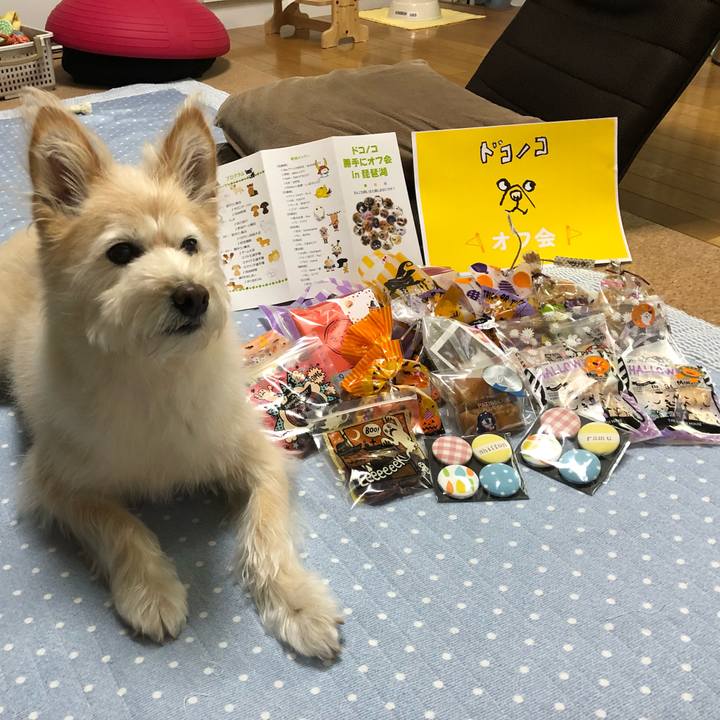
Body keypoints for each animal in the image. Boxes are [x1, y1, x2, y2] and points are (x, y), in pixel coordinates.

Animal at [0, 90, 342, 659]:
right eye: (121, 252)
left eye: (190, 246)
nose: (193, 295)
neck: (156, 371)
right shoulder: (56, 484)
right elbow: (121, 525)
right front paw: (151, 589)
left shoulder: (259, 458)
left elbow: (265, 532)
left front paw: (296, 603)